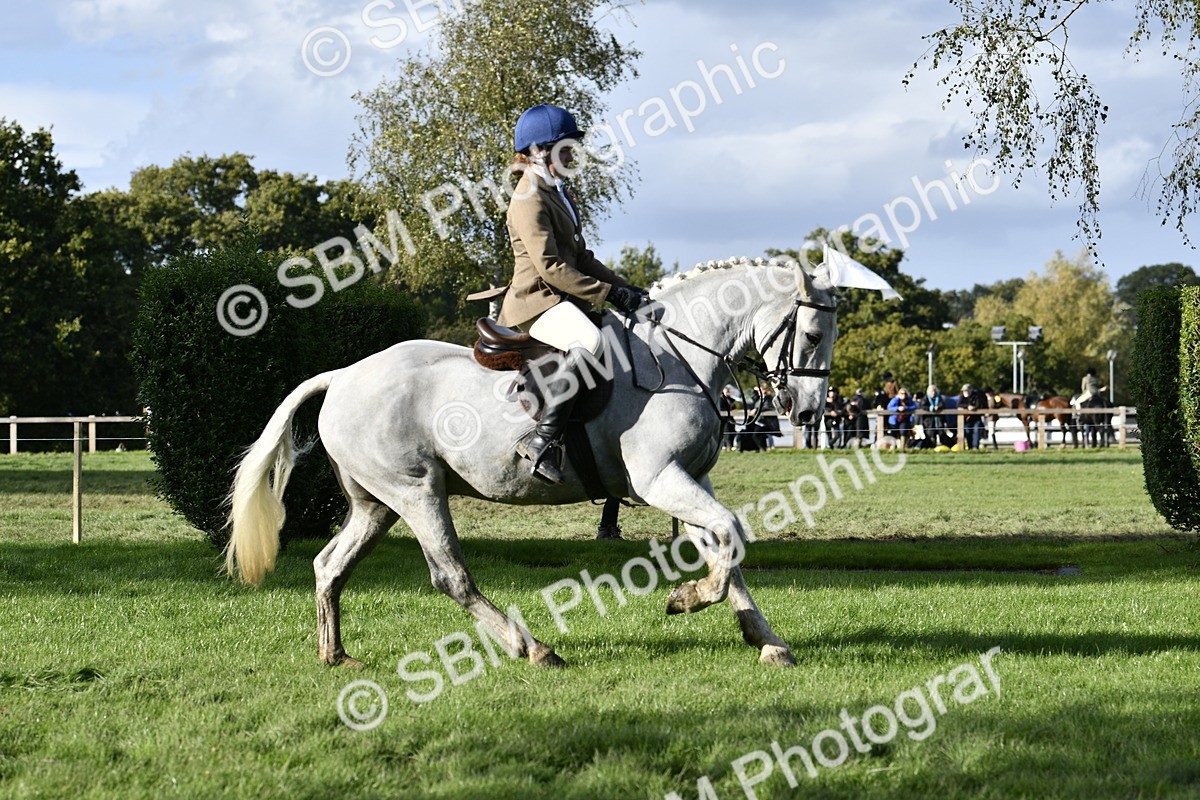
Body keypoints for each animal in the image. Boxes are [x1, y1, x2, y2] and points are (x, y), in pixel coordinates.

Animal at [224, 257, 838, 669]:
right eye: (811, 333)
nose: (808, 412)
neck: (678, 357)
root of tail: (344, 375)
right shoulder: (661, 479)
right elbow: (730, 534)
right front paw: (687, 600)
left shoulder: (691, 479)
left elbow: (724, 546)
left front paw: (766, 641)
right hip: (416, 492)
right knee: (450, 576)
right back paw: (534, 648)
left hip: (377, 504)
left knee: (330, 565)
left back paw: (336, 655)